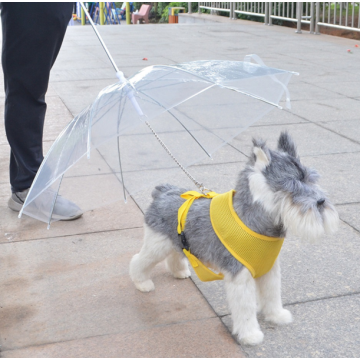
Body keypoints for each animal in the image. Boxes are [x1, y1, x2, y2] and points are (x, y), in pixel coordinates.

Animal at [129, 132, 338, 346]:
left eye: (311, 180)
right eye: (291, 186)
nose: (321, 202)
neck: (253, 221)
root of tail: (163, 191)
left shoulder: (269, 270)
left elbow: (272, 295)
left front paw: (276, 316)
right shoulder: (240, 277)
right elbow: (245, 308)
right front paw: (250, 334)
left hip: (176, 242)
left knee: (175, 255)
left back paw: (179, 271)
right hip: (157, 245)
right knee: (139, 260)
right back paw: (142, 283)